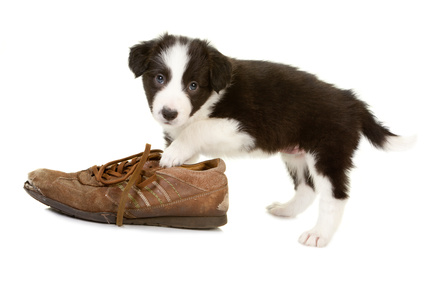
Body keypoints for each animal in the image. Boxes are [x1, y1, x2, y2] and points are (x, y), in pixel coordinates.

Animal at [128, 33, 414, 248]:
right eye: (159, 78)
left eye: (193, 85)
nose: (169, 113)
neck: (208, 101)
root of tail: (353, 102)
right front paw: (175, 164)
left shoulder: (243, 127)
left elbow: (198, 129)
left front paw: (173, 155)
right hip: (295, 153)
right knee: (307, 188)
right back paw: (286, 210)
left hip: (328, 151)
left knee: (335, 196)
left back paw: (319, 234)